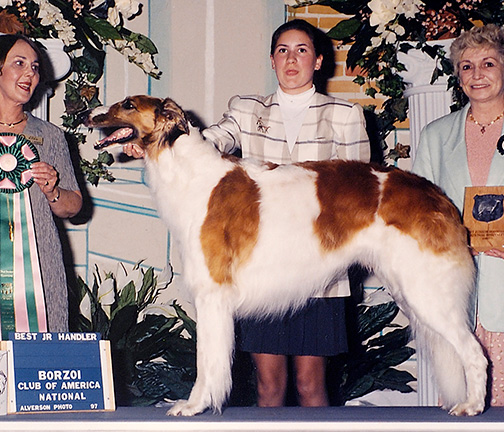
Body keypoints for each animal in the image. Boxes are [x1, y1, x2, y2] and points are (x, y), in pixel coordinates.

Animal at [85, 96, 488, 416]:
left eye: (128, 104)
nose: (87, 113)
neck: (191, 174)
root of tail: (437, 195)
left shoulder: (212, 295)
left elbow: (207, 363)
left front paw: (195, 405)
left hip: (428, 292)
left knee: (475, 353)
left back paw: (472, 405)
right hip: (411, 291)